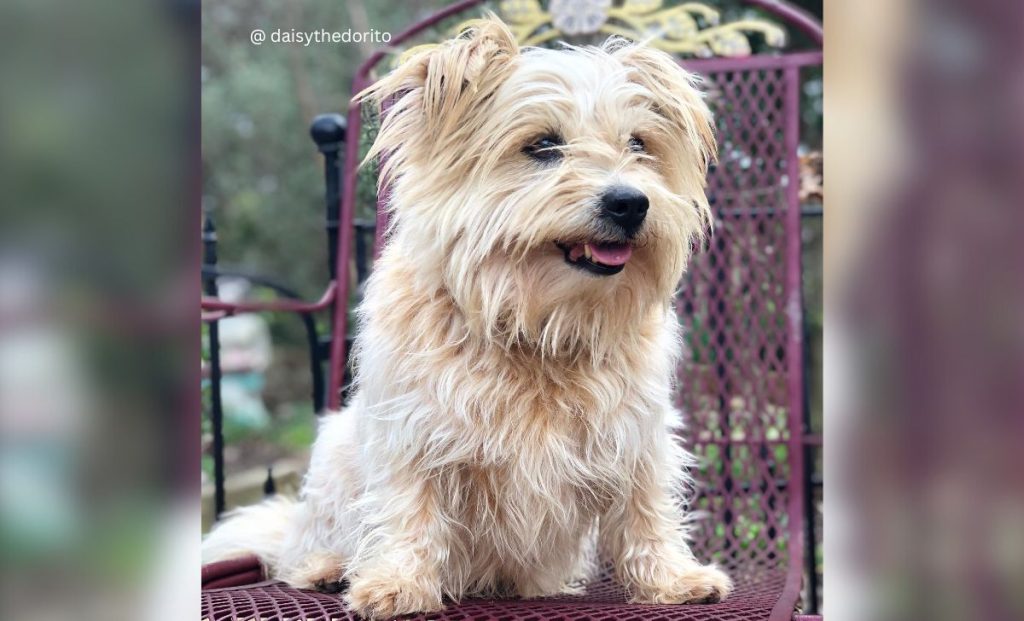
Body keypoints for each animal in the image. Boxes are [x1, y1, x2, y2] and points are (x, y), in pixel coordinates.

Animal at [201, 17, 729, 618]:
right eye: (542, 145)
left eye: (639, 145)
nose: (630, 202)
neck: (534, 323)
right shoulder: (411, 434)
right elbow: (409, 508)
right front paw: (398, 582)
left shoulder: (636, 435)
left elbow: (646, 509)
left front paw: (672, 578)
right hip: (334, 451)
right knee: (305, 542)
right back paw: (326, 567)